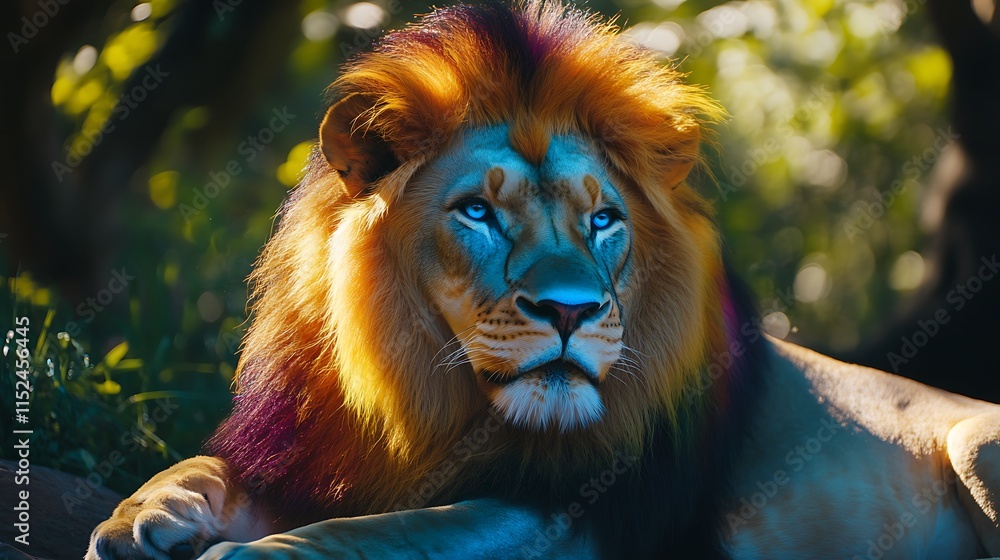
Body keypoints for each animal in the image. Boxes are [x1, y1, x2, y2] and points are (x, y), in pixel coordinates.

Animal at [87, 1, 1000, 558]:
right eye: (478, 214)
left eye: (603, 221)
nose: (571, 310)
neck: (420, 395)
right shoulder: (308, 456)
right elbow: (190, 470)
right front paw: (139, 519)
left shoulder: (576, 515)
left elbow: (372, 537)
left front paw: (244, 552)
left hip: (974, 440)